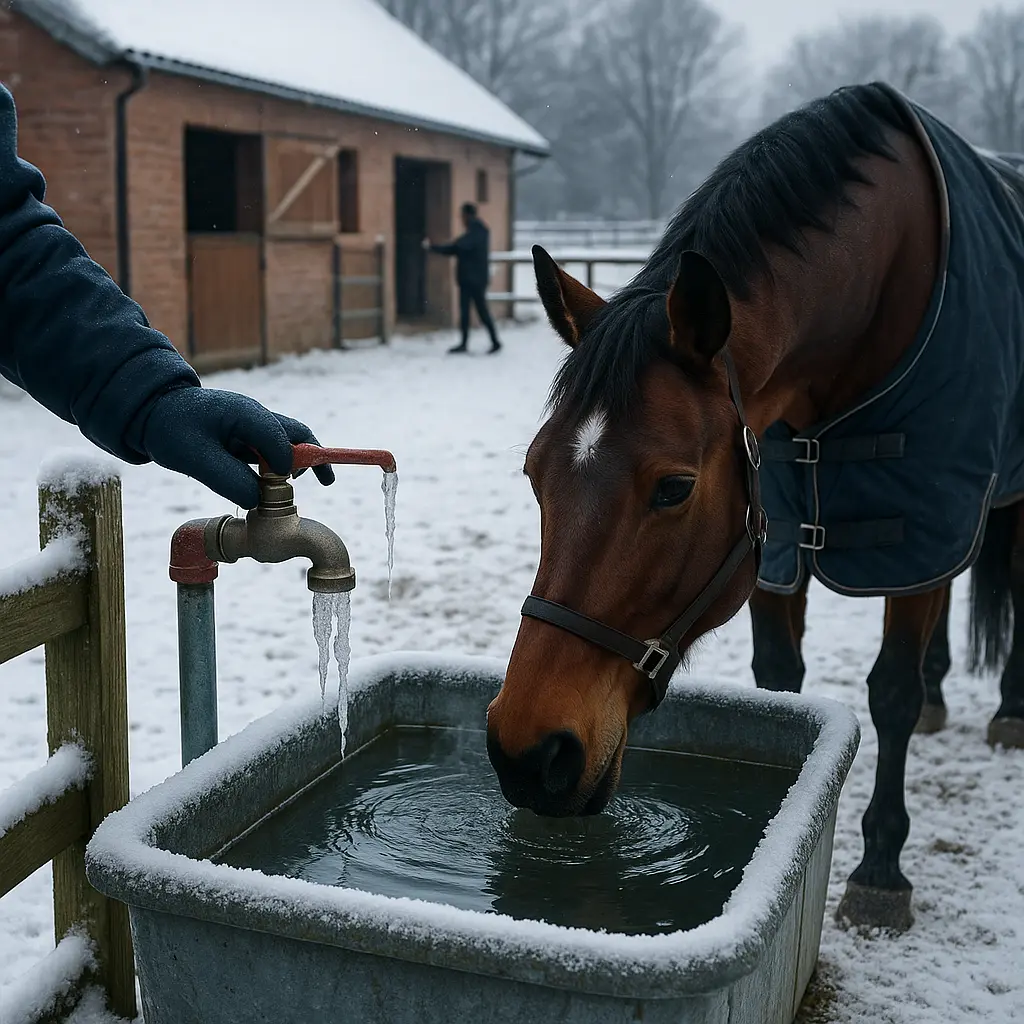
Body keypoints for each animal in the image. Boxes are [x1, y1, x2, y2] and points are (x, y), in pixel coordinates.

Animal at [485, 81, 1024, 933]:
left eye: (674, 487)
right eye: (535, 474)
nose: (527, 753)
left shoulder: (922, 515)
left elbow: (892, 693)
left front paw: (880, 867)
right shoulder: (775, 529)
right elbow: (779, 677)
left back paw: (1009, 710)